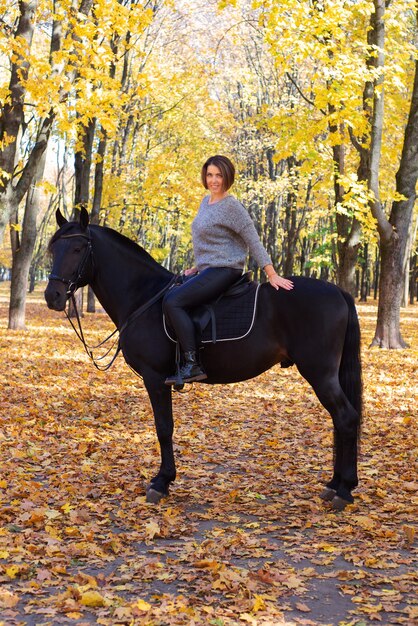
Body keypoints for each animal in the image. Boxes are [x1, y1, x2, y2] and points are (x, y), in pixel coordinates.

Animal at [44, 207, 360, 510]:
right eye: (53, 249)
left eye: (77, 249)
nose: (52, 296)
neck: (144, 297)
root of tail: (338, 291)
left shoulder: (155, 378)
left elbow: (164, 428)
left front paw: (162, 481)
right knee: (339, 419)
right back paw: (335, 484)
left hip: (320, 373)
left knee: (345, 418)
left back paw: (344, 490)